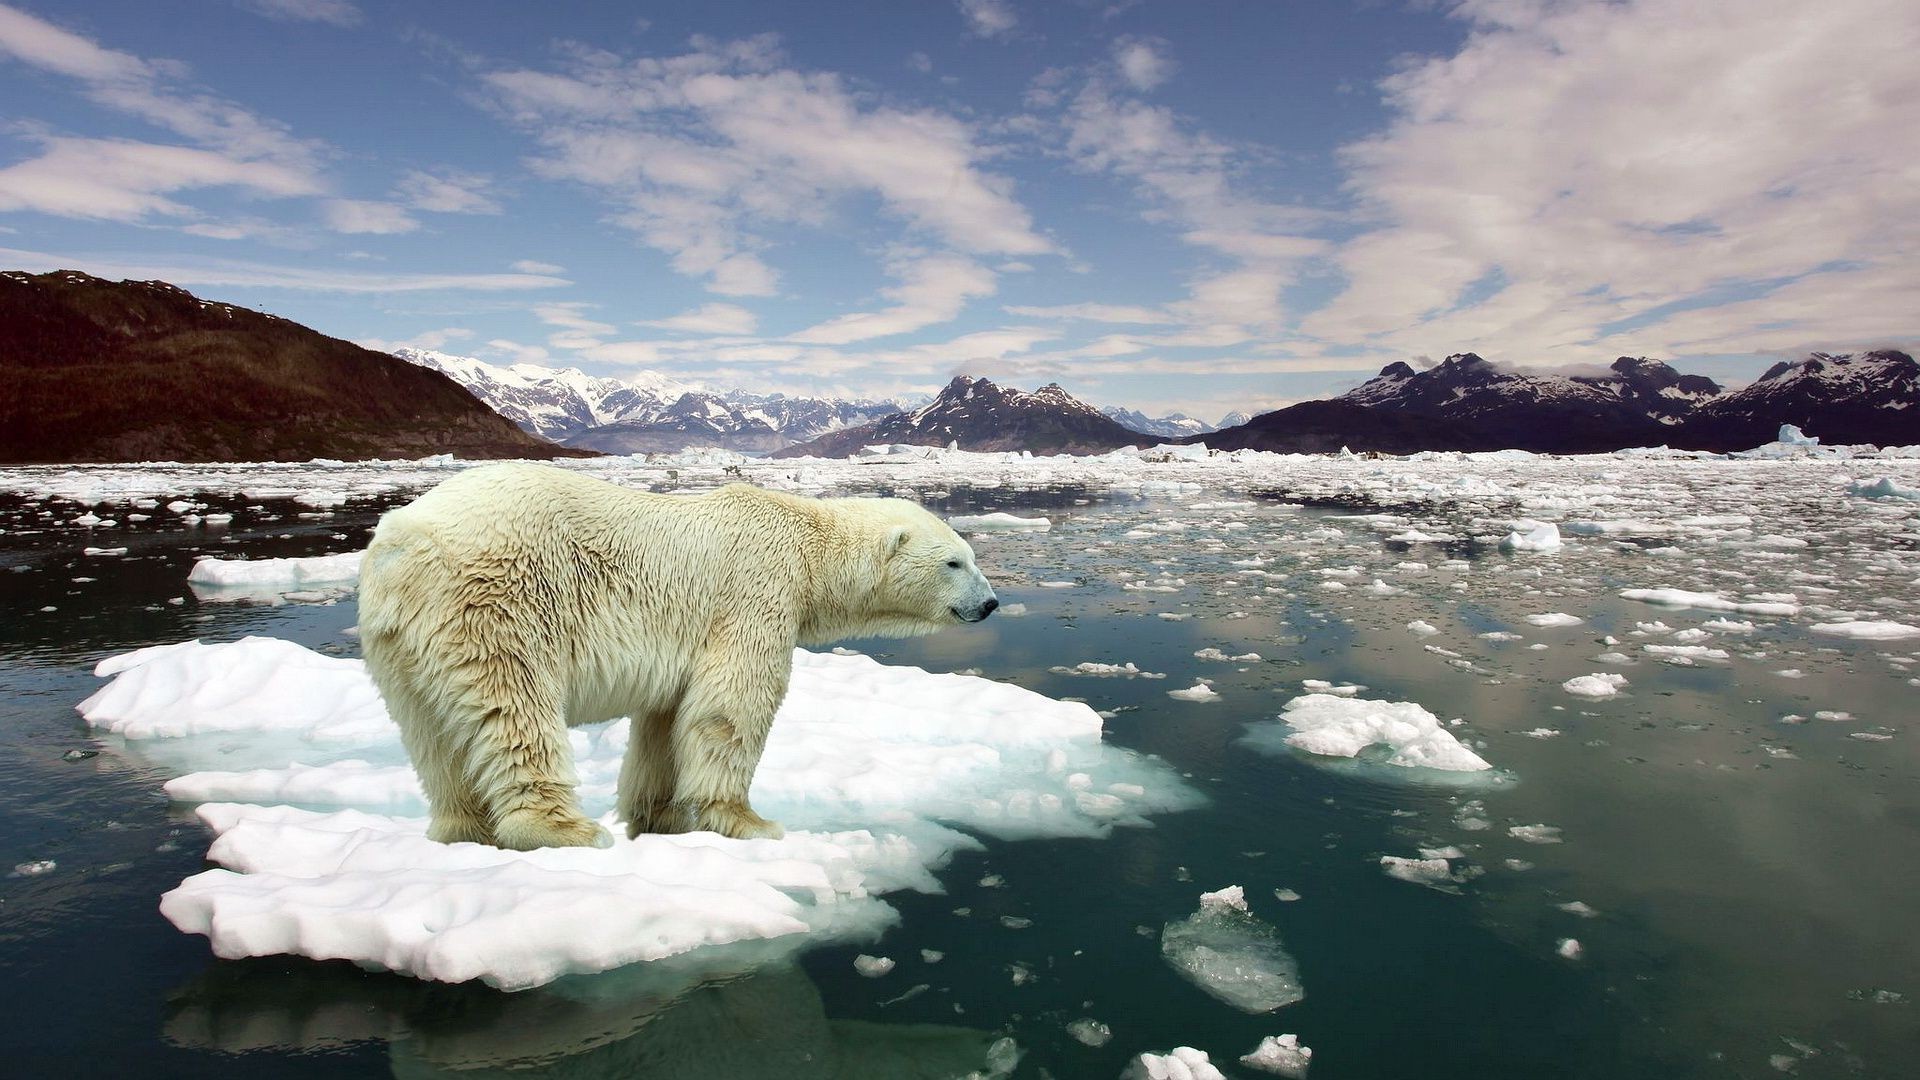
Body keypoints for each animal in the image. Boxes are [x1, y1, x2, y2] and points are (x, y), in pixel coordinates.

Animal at [355, 463, 1006, 849]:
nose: (991, 603)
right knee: (514, 706)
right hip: (496, 600)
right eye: (955, 562)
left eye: (971, 556)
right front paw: (749, 822)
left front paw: (658, 818)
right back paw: (563, 829)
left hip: (398, 641)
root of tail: (401, 543)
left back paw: (462, 829)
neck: (806, 543)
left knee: (431, 734)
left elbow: (666, 722)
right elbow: (731, 706)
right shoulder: (756, 591)